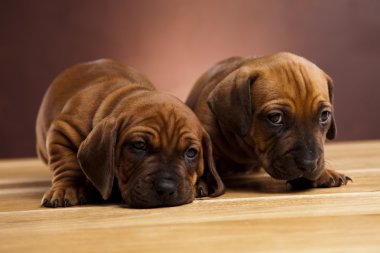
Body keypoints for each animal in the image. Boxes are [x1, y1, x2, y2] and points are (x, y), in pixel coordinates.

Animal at [35, 59, 224, 208]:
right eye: (139, 146)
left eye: (191, 153)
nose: (166, 188)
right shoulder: (63, 130)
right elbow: (67, 164)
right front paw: (67, 188)